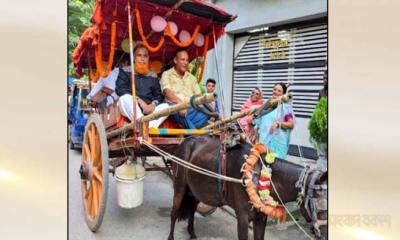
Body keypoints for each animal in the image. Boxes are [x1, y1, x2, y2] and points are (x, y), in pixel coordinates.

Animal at [167, 135, 326, 240]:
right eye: (321, 207)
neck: (258, 173)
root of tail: (186, 141)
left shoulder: (261, 218)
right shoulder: (242, 217)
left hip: (194, 190)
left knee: (192, 209)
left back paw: (192, 232)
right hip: (180, 185)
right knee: (174, 212)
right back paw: (171, 236)